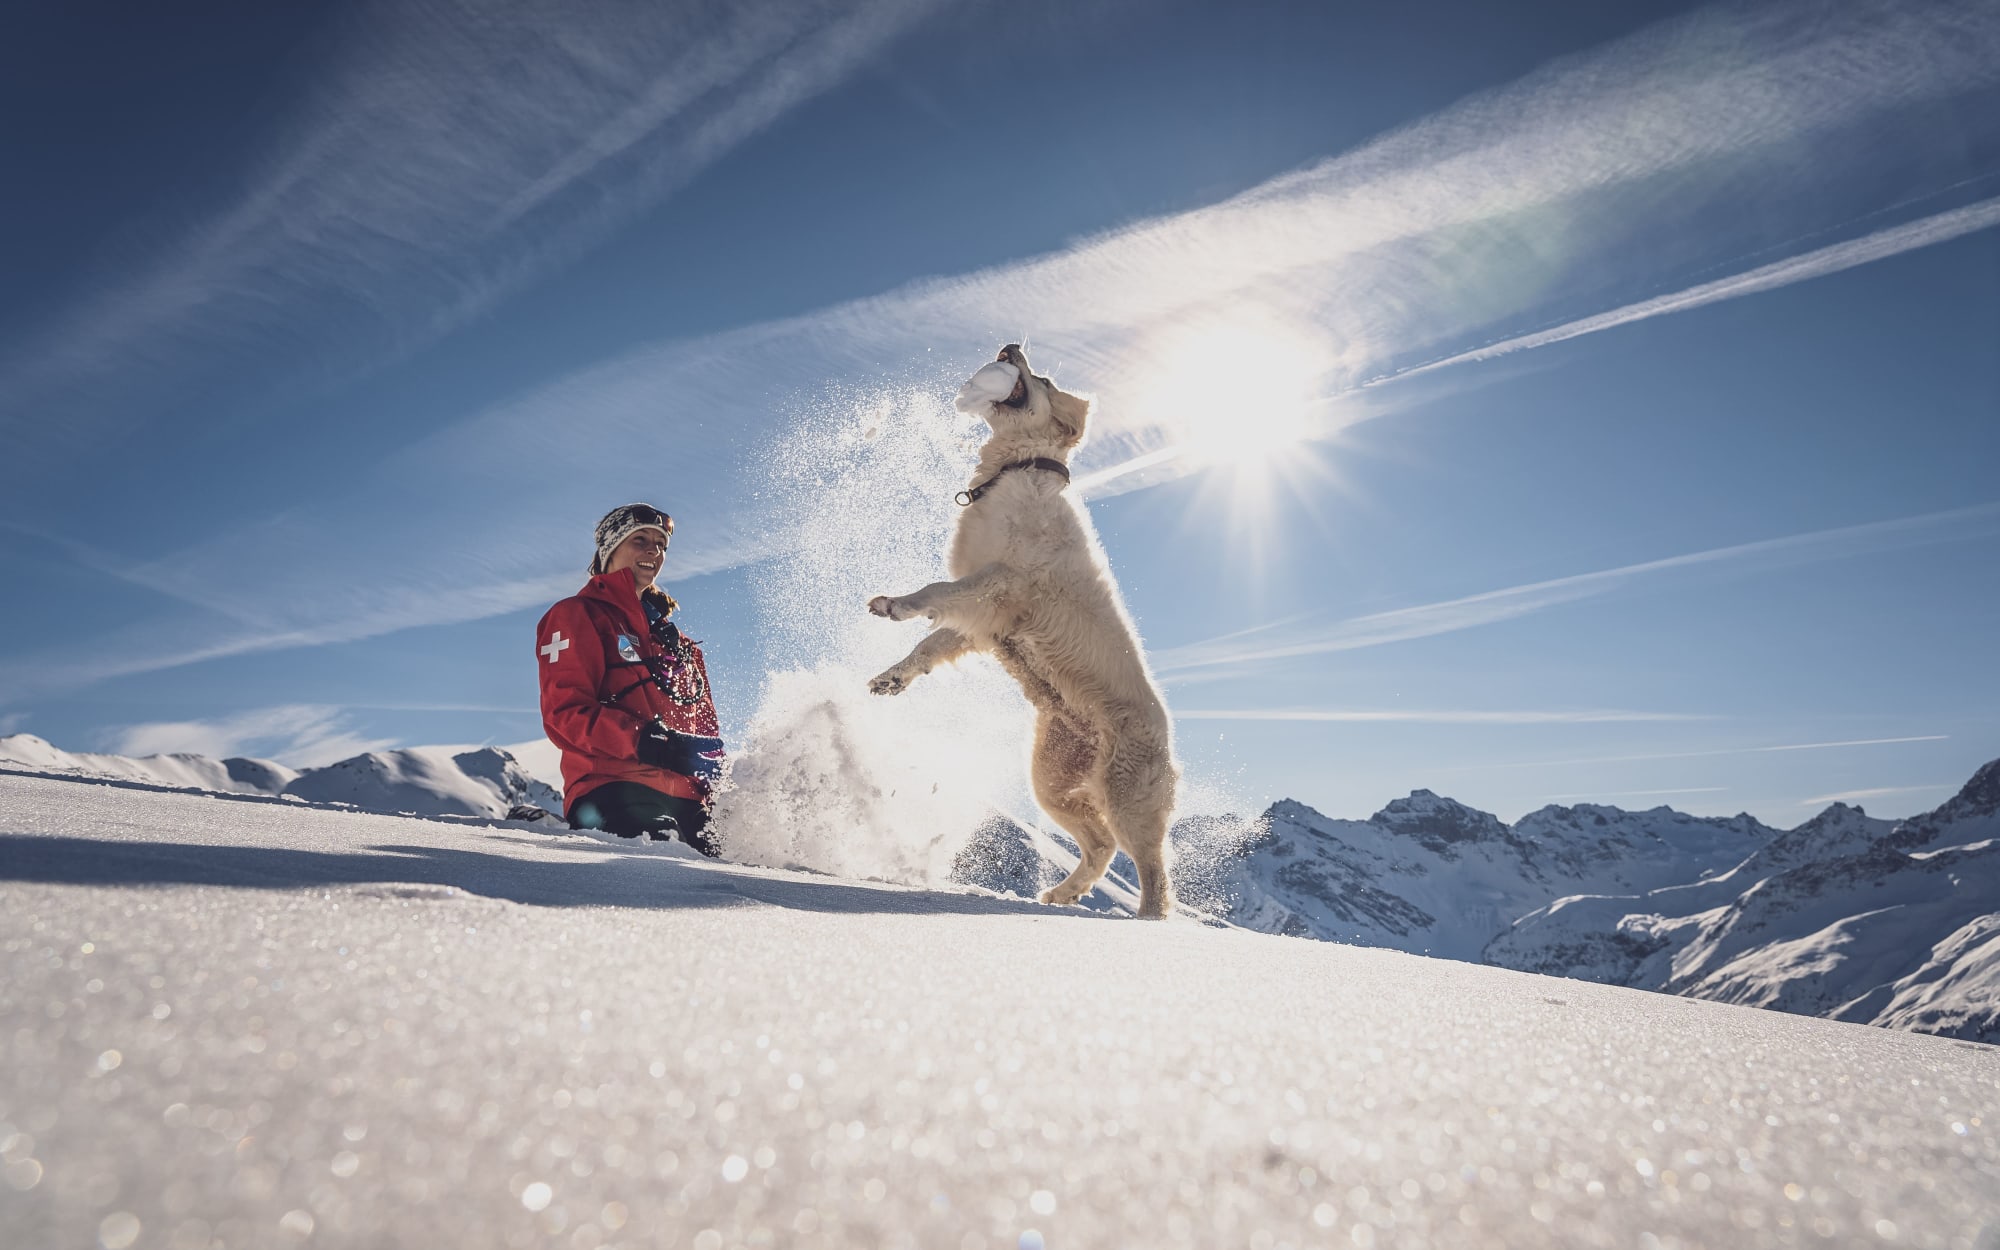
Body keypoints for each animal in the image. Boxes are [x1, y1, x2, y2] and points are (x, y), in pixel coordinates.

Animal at [868, 344, 1176, 916]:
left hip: (1128, 797)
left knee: (1152, 870)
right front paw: (892, 677)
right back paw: (1062, 894)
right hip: (1050, 780)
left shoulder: (1003, 582)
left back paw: (1147, 920)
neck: (1016, 469)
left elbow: (935, 591)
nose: (1010, 347)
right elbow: (929, 643)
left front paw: (896, 605)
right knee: (1100, 845)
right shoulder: (982, 621)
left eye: (1044, 378)